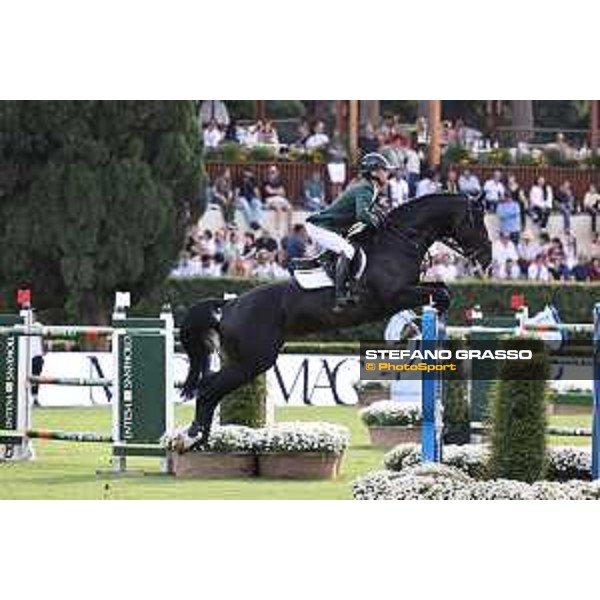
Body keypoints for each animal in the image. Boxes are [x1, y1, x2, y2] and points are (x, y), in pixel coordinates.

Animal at [178, 195, 492, 448]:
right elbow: (441, 293)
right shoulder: (395, 295)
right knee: (208, 389)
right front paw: (432, 315)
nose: (487, 259)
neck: (399, 240)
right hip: (253, 361)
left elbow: (441, 289)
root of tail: (229, 306)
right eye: (476, 221)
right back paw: (194, 436)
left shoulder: (409, 291)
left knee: (210, 388)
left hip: (245, 360)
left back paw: (202, 439)